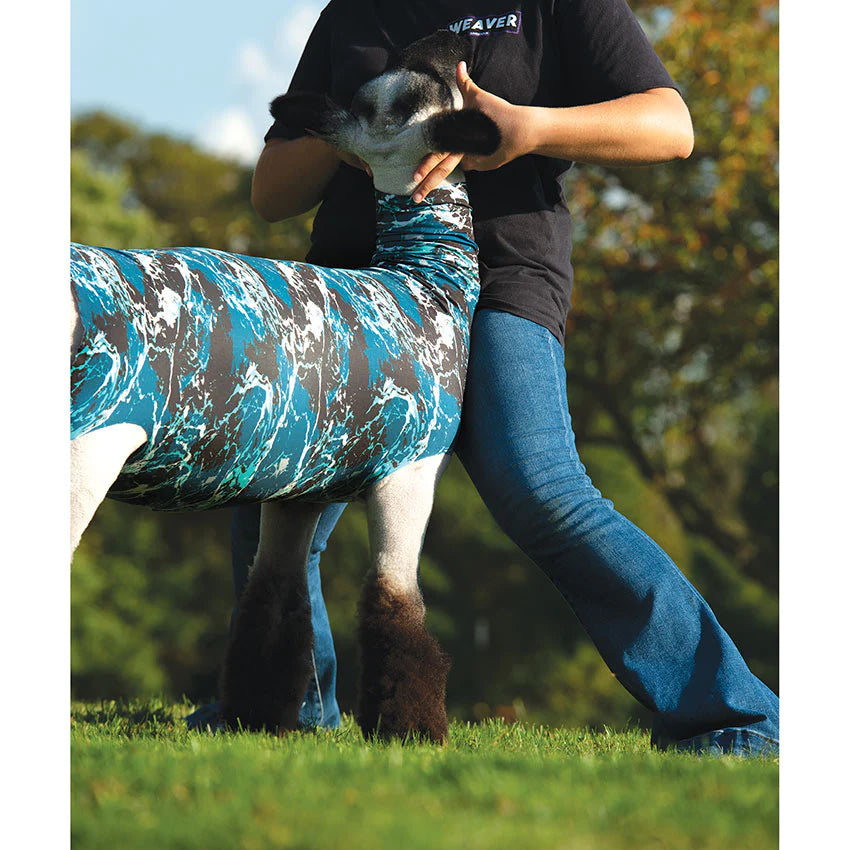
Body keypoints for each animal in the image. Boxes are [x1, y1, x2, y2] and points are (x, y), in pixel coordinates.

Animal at [69, 30, 500, 742]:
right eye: (420, 86)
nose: (451, 38)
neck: (426, 279)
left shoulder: (298, 486)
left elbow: (271, 605)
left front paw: (256, 718)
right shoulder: (412, 471)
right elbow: (396, 605)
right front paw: (413, 730)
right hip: (90, 443)